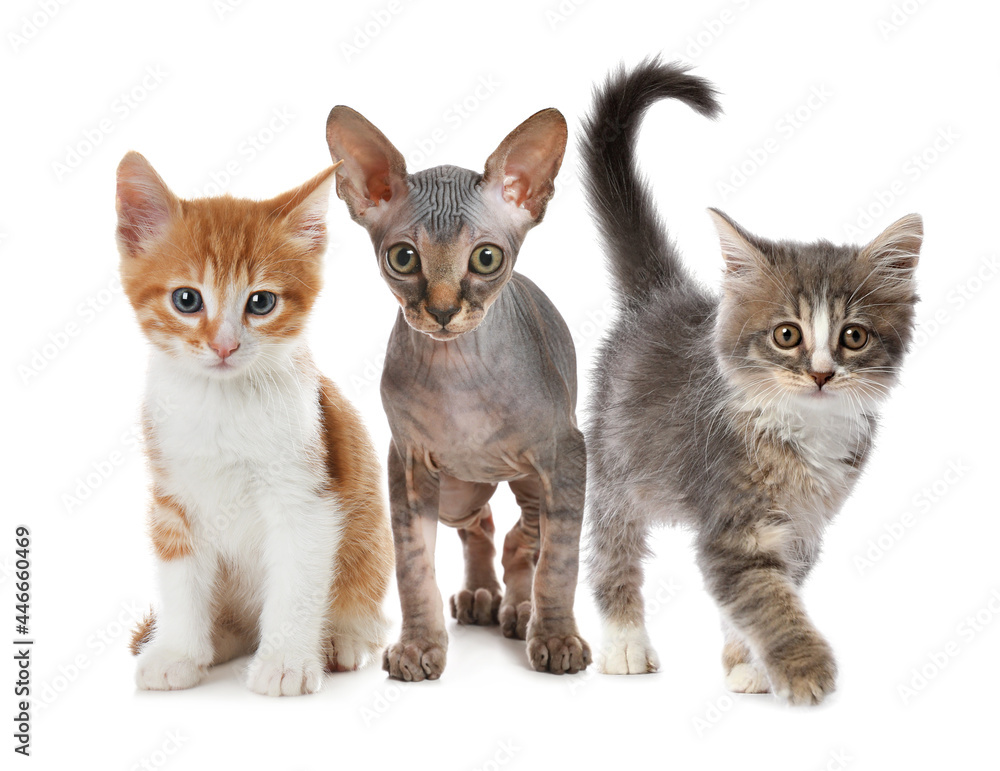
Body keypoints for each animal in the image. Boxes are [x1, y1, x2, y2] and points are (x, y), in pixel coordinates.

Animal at [119, 154, 392, 696]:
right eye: (186, 300)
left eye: (261, 302)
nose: (224, 345)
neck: (221, 404)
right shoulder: (172, 497)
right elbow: (180, 576)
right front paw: (178, 651)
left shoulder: (306, 495)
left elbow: (296, 583)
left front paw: (287, 662)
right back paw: (217, 639)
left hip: (371, 541)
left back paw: (342, 640)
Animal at [328, 105, 588, 680]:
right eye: (403, 258)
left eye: (485, 258)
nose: (444, 311)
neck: (459, 380)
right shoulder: (406, 464)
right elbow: (413, 567)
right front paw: (418, 646)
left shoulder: (565, 457)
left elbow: (558, 563)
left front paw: (556, 637)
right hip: (456, 491)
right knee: (484, 525)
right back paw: (481, 596)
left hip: (531, 482)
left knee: (522, 540)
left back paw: (518, 609)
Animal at [584, 60, 920, 704]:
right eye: (787, 335)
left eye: (853, 337)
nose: (820, 373)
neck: (805, 430)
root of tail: (660, 297)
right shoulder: (733, 523)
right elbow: (767, 600)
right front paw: (805, 669)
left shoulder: (804, 528)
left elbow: (760, 597)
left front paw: (748, 665)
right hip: (617, 460)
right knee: (612, 541)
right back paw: (624, 641)